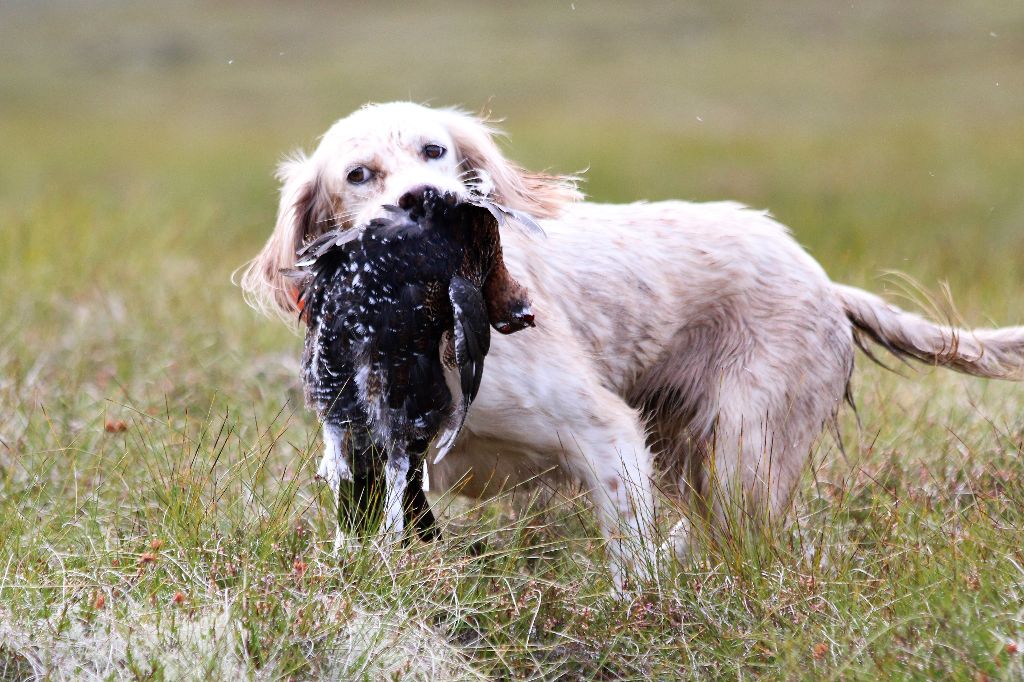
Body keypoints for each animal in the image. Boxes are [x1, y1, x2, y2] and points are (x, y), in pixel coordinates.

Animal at [243, 99, 1024, 585]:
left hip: (745, 456)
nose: (428, 200)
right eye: (359, 174)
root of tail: (824, 281)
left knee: (752, 539)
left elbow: (630, 556)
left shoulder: (603, 432)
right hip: (687, 456)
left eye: (434, 150)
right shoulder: (367, 454)